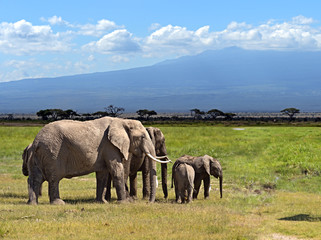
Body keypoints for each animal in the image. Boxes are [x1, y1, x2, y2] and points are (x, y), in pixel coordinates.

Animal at [23, 116, 170, 204]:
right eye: (142, 137)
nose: (149, 202)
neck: (122, 121)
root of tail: (36, 141)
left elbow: (103, 175)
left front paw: (102, 202)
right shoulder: (110, 146)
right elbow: (117, 170)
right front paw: (124, 203)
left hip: (40, 155)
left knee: (35, 178)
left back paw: (32, 203)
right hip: (52, 152)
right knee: (54, 178)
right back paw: (59, 203)